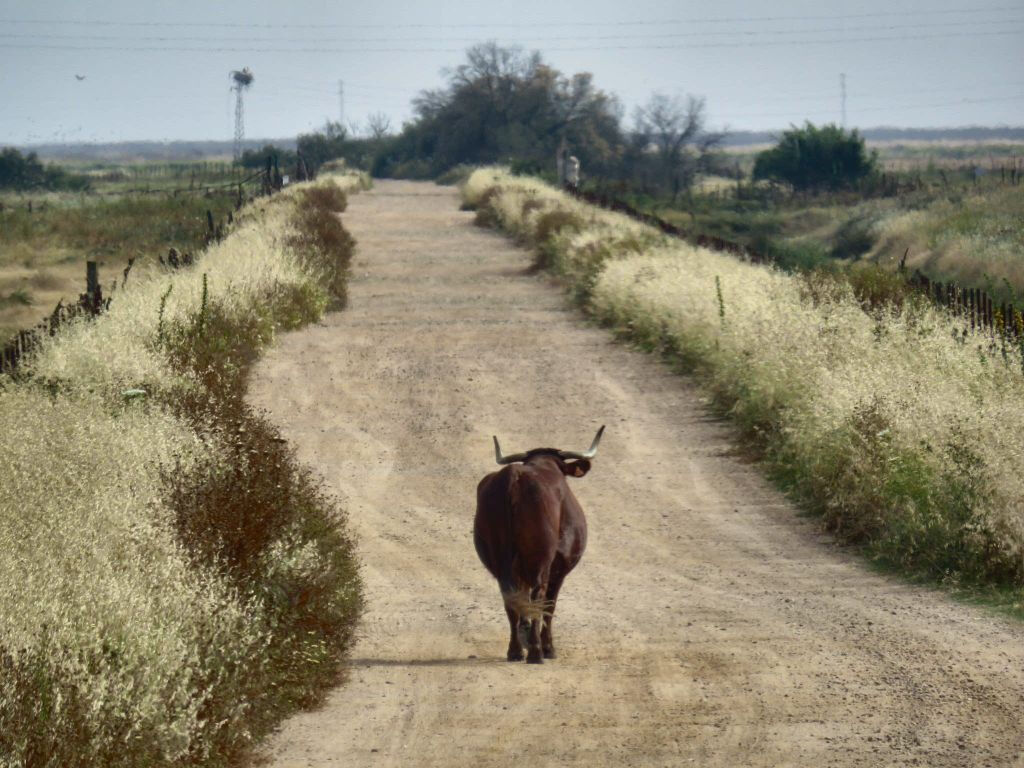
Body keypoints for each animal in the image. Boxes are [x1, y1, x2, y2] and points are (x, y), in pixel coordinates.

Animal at [475, 423, 602, 663]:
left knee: (510, 596)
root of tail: (513, 476)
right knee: (538, 595)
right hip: (540, 559)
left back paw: (515, 650)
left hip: (500, 559)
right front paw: (548, 647)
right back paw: (536, 651)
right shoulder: (559, 567)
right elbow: (549, 605)